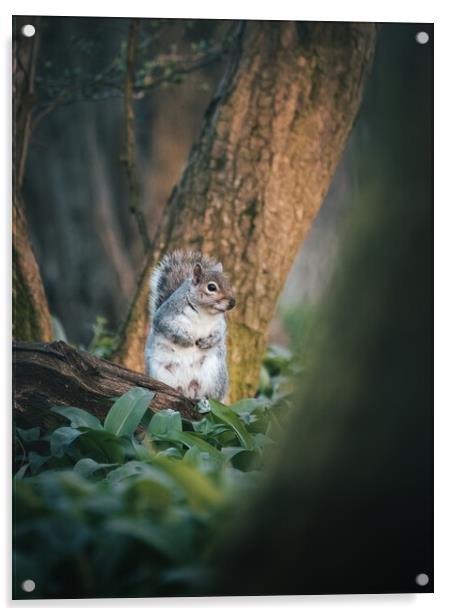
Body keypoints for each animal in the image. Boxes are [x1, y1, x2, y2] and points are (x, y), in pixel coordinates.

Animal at [145, 248, 237, 402]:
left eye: (228, 283)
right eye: (211, 287)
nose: (233, 303)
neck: (204, 311)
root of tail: (187, 390)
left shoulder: (219, 324)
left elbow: (220, 334)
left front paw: (207, 342)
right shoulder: (165, 315)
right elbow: (167, 326)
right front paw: (186, 340)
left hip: (214, 374)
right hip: (160, 373)